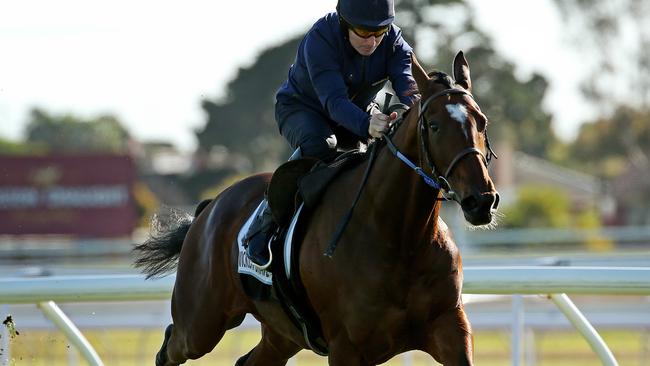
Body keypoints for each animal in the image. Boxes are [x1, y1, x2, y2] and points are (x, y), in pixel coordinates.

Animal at [132, 49, 496, 366]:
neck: (399, 237)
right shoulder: (346, 347)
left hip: (281, 333)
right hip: (201, 322)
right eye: (434, 125)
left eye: (482, 122)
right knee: (171, 346)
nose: (481, 200)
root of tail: (209, 208)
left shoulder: (449, 326)